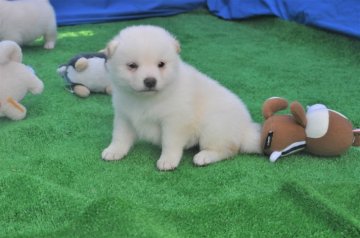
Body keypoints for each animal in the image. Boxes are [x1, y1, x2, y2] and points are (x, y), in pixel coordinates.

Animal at [102, 25, 260, 171]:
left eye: (161, 64)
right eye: (132, 65)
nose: (150, 81)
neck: (145, 99)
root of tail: (245, 128)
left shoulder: (174, 121)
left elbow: (169, 142)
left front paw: (167, 160)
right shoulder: (124, 116)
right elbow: (120, 136)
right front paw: (114, 151)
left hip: (213, 127)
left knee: (228, 150)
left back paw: (204, 156)